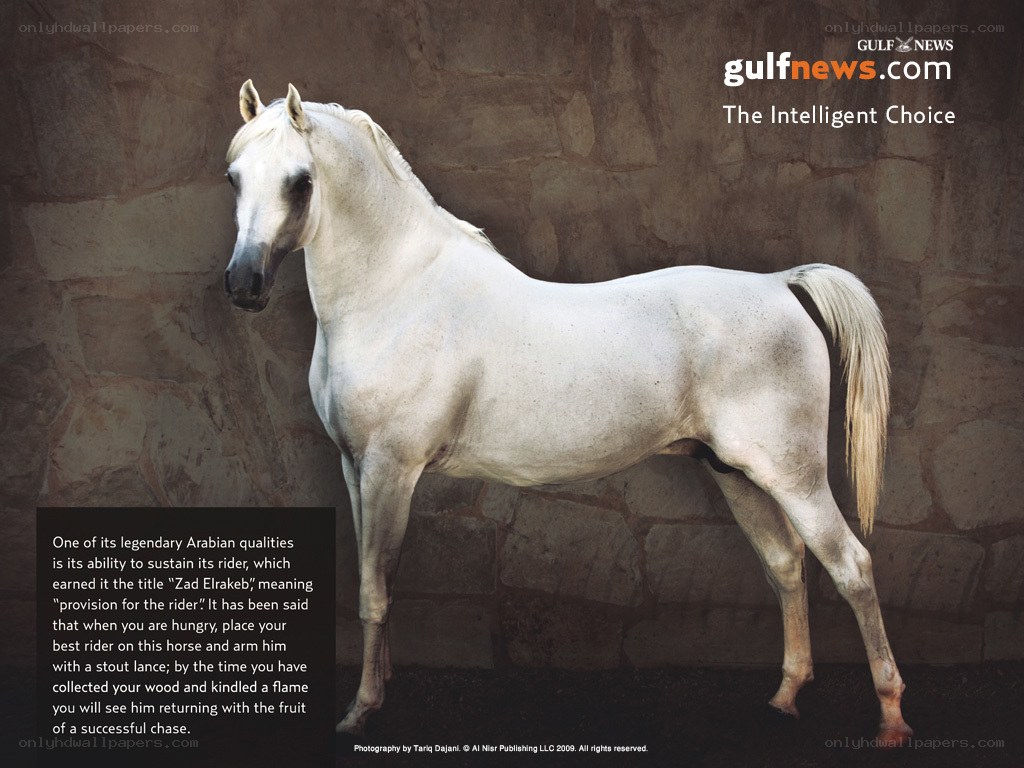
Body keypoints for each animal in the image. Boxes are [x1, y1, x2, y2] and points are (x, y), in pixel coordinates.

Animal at [223, 80, 913, 746]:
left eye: (300, 181)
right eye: (234, 177)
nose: (243, 285)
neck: (399, 295)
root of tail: (779, 284)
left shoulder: (390, 469)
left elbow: (374, 589)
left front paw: (361, 711)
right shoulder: (353, 467)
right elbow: (376, 586)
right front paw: (378, 688)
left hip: (794, 475)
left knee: (851, 567)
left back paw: (890, 717)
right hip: (735, 473)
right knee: (787, 565)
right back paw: (786, 697)